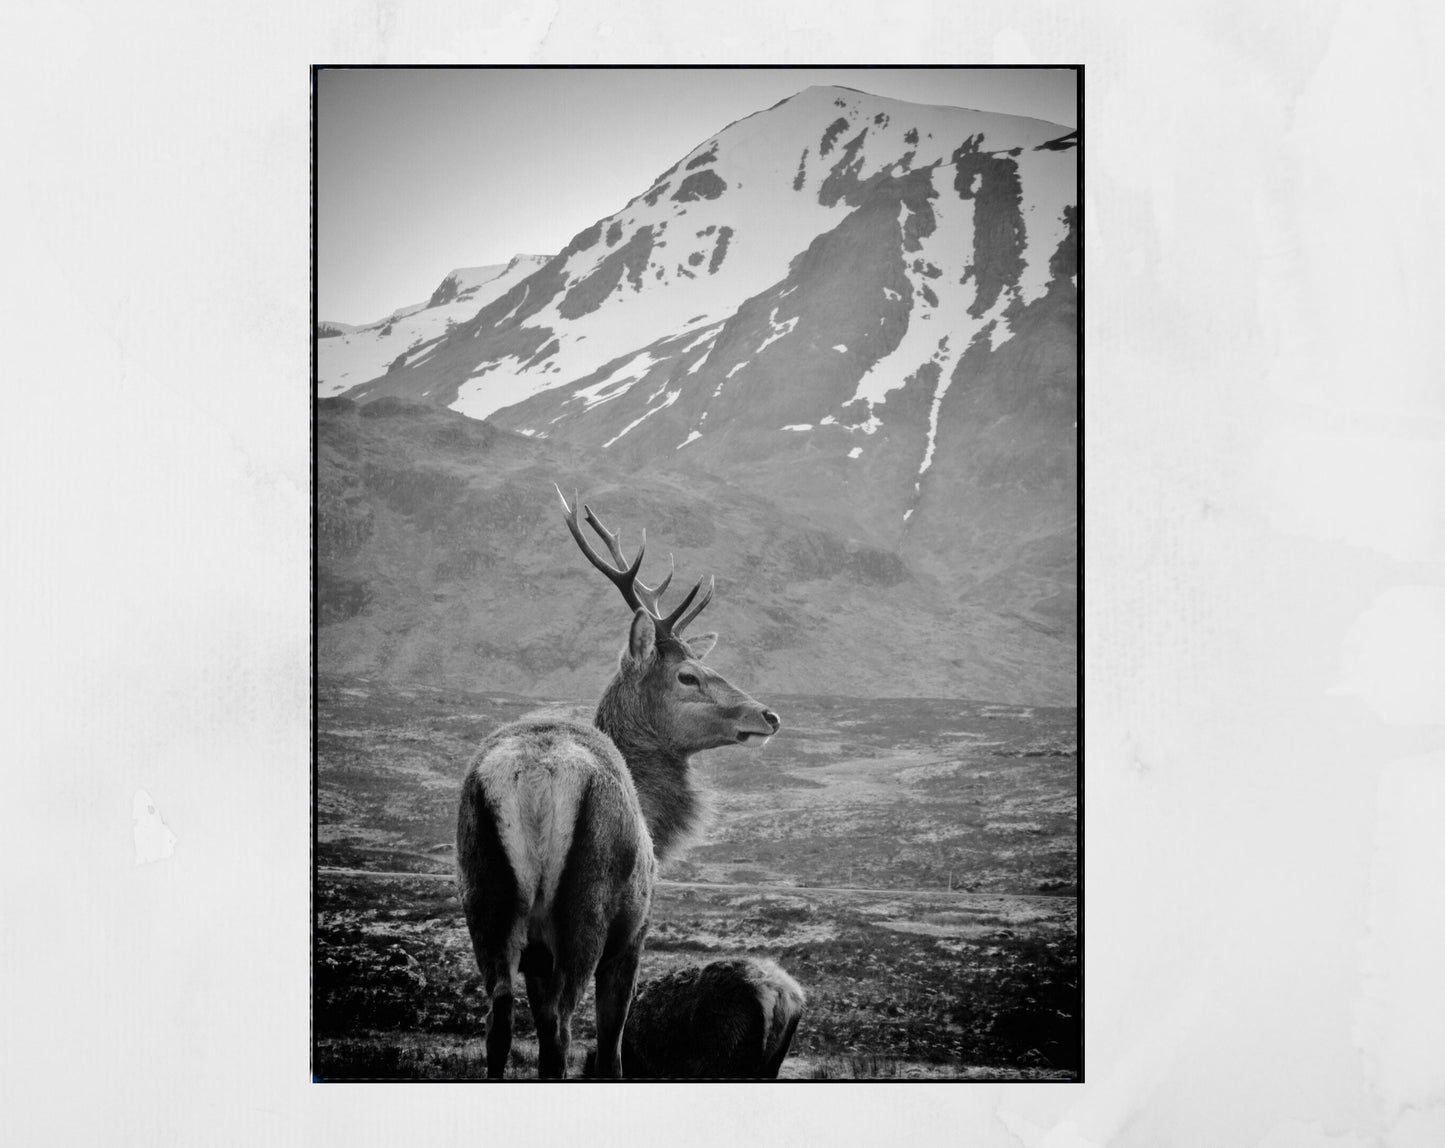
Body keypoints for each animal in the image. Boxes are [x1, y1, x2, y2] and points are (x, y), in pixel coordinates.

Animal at [459, 488, 780, 1075]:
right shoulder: (635, 932)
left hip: (485, 895)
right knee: (563, 1029)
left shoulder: (535, 953)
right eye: (688, 675)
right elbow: (611, 1045)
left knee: (498, 1020)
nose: (768, 715)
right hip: (587, 905)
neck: (656, 821)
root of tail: (535, 775)